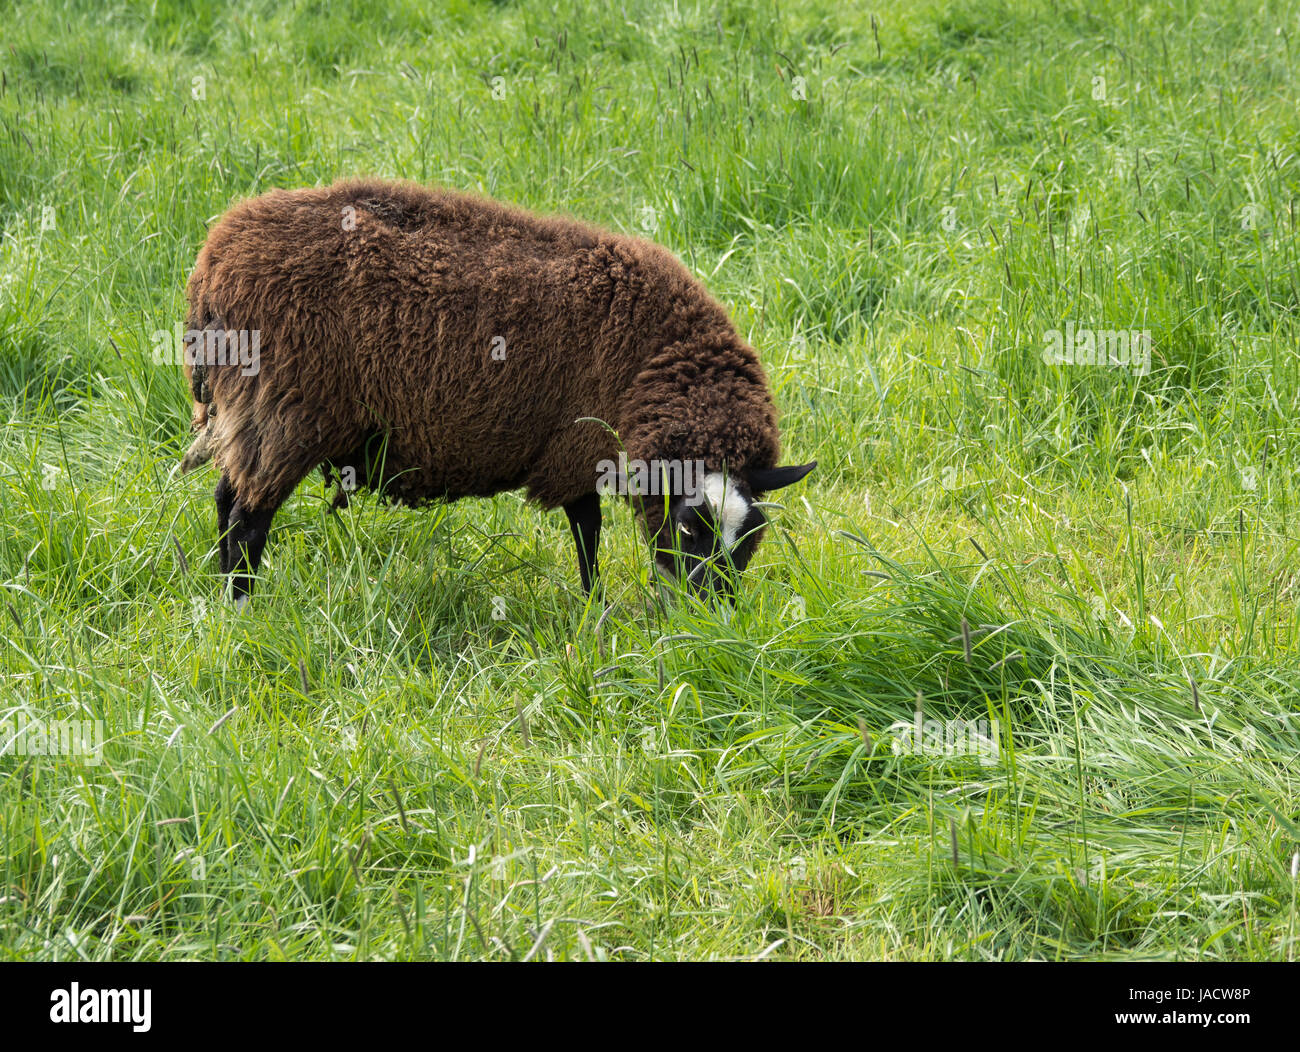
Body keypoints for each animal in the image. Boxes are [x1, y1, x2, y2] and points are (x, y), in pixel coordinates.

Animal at [179, 178, 816, 603]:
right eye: (689, 526)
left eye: (751, 537)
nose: (710, 617)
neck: (654, 360)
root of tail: (212, 267)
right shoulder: (578, 445)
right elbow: (587, 529)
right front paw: (594, 607)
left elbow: (586, 530)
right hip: (287, 408)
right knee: (248, 515)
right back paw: (244, 606)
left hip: (254, 410)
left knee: (226, 497)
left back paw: (224, 596)